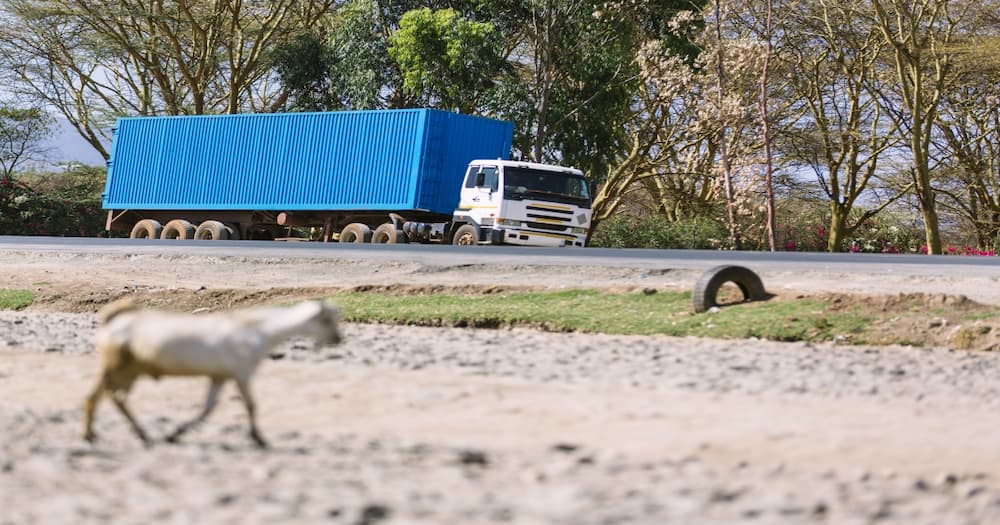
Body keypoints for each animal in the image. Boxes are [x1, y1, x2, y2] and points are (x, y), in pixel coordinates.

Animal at [83, 298, 340, 446]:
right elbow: (251, 405)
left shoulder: (220, 376)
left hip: (130, 370)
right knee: (102, 396)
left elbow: (208, 408)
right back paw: (93, 434)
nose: (339, 339)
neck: (259, 331)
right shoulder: (242, 372)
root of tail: (111, 323)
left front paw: (176, 433)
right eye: (327, 320)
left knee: (113, 397)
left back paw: (135, 433)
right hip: (118, 367)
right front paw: (258, 438)